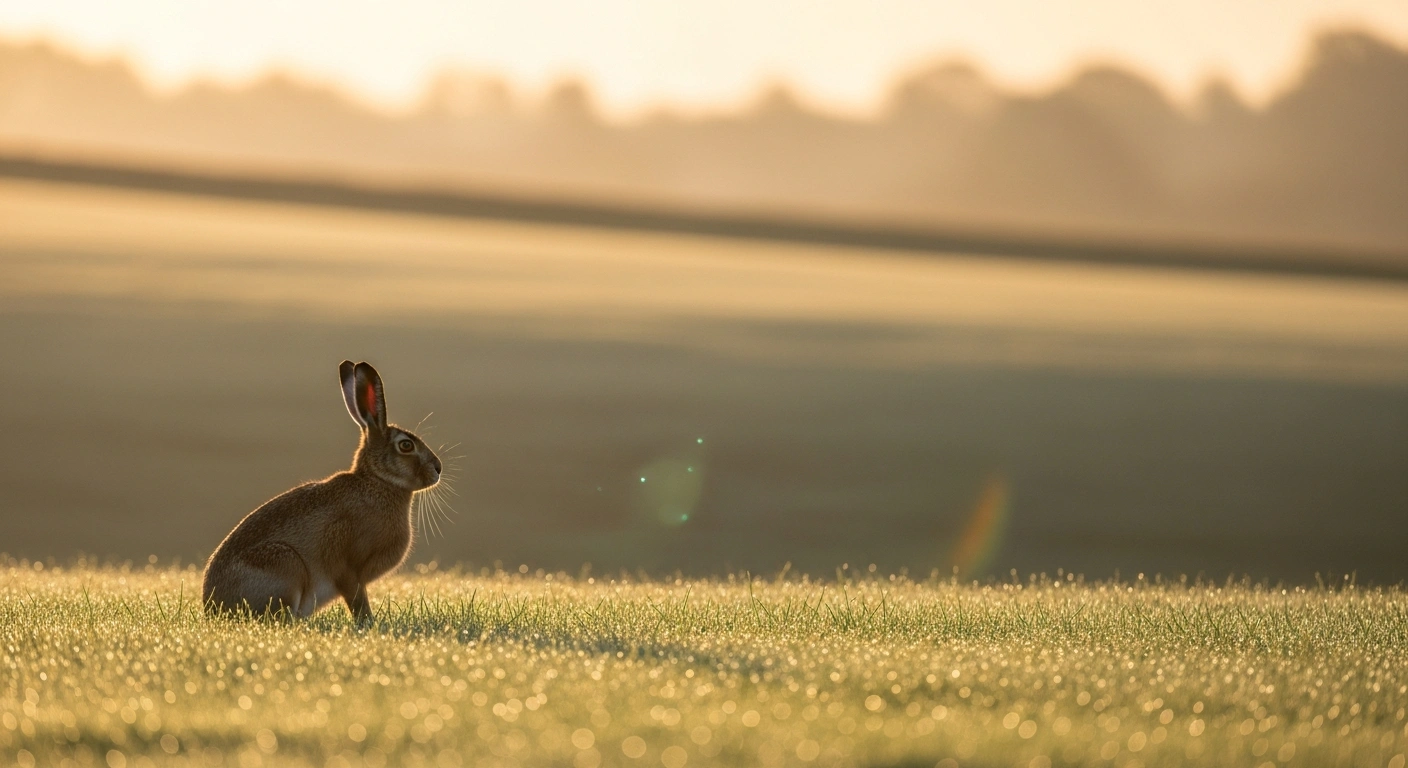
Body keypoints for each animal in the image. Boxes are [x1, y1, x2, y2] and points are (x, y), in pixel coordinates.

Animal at [203, 361, 442, 624]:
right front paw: (369, 623)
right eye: (406, 445)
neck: (377, 481)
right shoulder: (348, 565)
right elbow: (357, 598)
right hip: (285, 564)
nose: (438, 468)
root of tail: (212, 609)